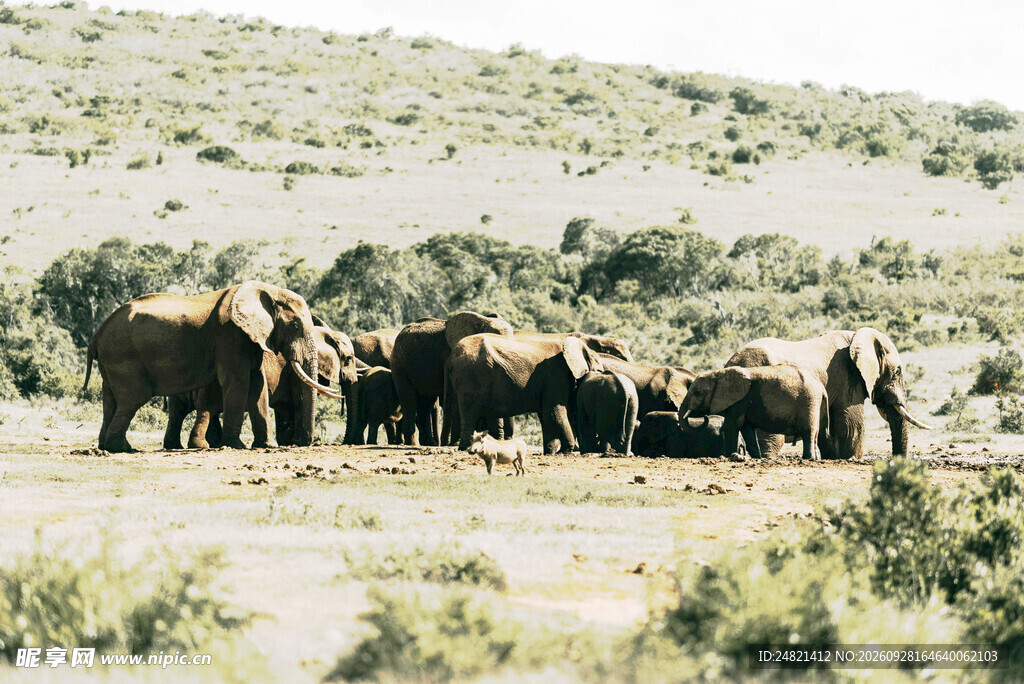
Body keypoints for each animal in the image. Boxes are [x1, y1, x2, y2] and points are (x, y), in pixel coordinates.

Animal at [83, 281, 341, 452]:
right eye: (296, 326)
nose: (304, 442)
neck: (266, 290)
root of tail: (96, 335)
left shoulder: (249, 339)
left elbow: (257, 384)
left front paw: (266, 446)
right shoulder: (231, 336)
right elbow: (238, 382)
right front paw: (236, 445)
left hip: (111, 362)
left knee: (111, 400)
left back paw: (107, 446)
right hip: (124, 357)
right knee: (133, 399)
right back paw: (122, 448)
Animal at [391, 312, 514, 446]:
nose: (508, 439)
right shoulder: (448, 355)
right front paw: (455, 443)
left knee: (426, 403)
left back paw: (430, 443)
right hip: (399, 365)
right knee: (409, 401)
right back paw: (414, 443)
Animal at [447, 333, 606, 454]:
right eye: (599, 371)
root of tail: (452, 356)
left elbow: (545, 415)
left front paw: (550, 452)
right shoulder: (557, 375)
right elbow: (554, 412)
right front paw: (567, 451)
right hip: (471, 376)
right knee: (470, 413)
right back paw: (466, 449)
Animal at [678, 364, 830, 461]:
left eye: (697, 393)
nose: (705, 416)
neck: (718, 374)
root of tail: (822, 388)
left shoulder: (739, 401)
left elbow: (731, 427)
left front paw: (727, 457)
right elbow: (747, 429)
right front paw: (758, 458)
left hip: (810, 401)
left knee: (808, 432)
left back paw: (808, 459)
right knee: (814, 434)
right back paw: (814, 459)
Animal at [727, 328, 932, 459]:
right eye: (897, 372)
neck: (857, 336)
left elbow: (829, 430)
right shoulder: (848, 379)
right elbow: (851, 427)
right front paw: (851, 459)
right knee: (771, 440)